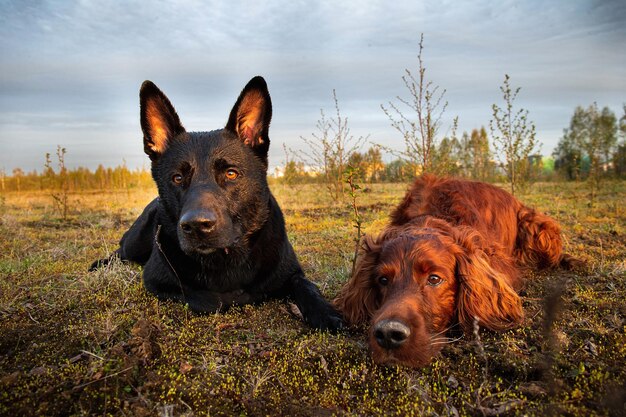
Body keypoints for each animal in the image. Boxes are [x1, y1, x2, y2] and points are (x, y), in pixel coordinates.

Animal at [91, 75, 342, 330]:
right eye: (177, 178)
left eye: (231, 174)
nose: (197, 226)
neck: (227, 257)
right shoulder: (156, 280)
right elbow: (212, 299)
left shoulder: (292, 273)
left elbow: (307, 286)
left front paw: (326, 313)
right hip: (135, 243)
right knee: (120, 251)